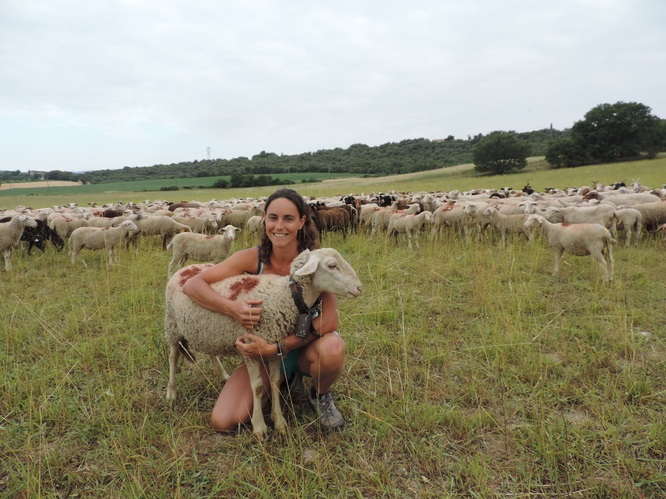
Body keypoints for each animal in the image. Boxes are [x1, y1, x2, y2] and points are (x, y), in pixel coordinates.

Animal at [166, 248, 364, 440]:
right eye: (332, 266)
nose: (359, 287)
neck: (286, 296)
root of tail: (187, 268)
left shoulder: (274, 346)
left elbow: (275, 381)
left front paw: (279, 421)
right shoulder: (249, 348)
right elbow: (258, 386)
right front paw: (259, 427)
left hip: (207, 330)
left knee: (211, 353)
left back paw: (223, 375)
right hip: (172, 326)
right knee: (173, 357)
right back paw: (171, 392)